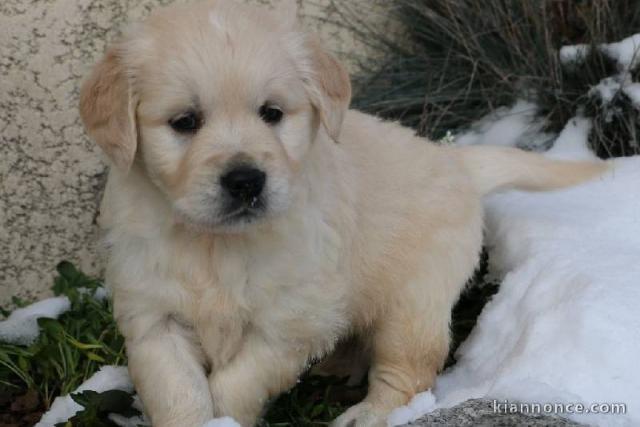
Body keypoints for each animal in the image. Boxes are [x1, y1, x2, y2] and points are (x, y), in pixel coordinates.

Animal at [79, 1, 604, 426]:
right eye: (184, 122)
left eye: (272, 113)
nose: (246, 181)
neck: (215, 243)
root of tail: (455, 161)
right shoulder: (153, 317)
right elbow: (179, 392)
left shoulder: (292, 320)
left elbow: (237, 382)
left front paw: (227, 415)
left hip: (412, 303)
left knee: (407, 371)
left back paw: (368, 414)